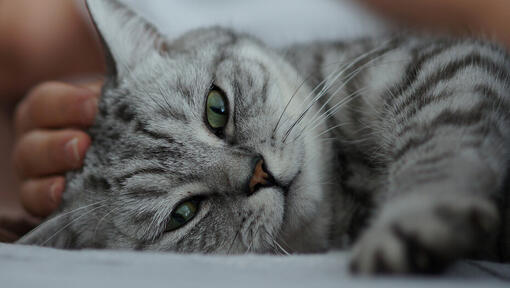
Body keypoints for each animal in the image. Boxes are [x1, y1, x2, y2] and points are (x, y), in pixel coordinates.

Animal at [17, 0, 510, 274]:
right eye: (183, 213)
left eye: (216, 109)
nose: (259, 175)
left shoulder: (445, 71)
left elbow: (438, 154)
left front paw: (411, 219)